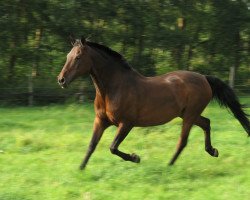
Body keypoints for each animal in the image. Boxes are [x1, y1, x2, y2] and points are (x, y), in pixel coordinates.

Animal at [57, 36, 249, 170]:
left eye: (78, 57)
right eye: (68, 56)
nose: (61, 80)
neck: (114, 88)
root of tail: (204, 78)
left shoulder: (126, 123)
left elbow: (113, 147)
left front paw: (136, 158)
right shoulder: (101, 121)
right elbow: (91, 146)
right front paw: (80, 169)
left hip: (189, 116)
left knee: (183, 141)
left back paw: (169, 165)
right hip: (188, 114)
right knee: (206, 123)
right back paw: (212, 151)